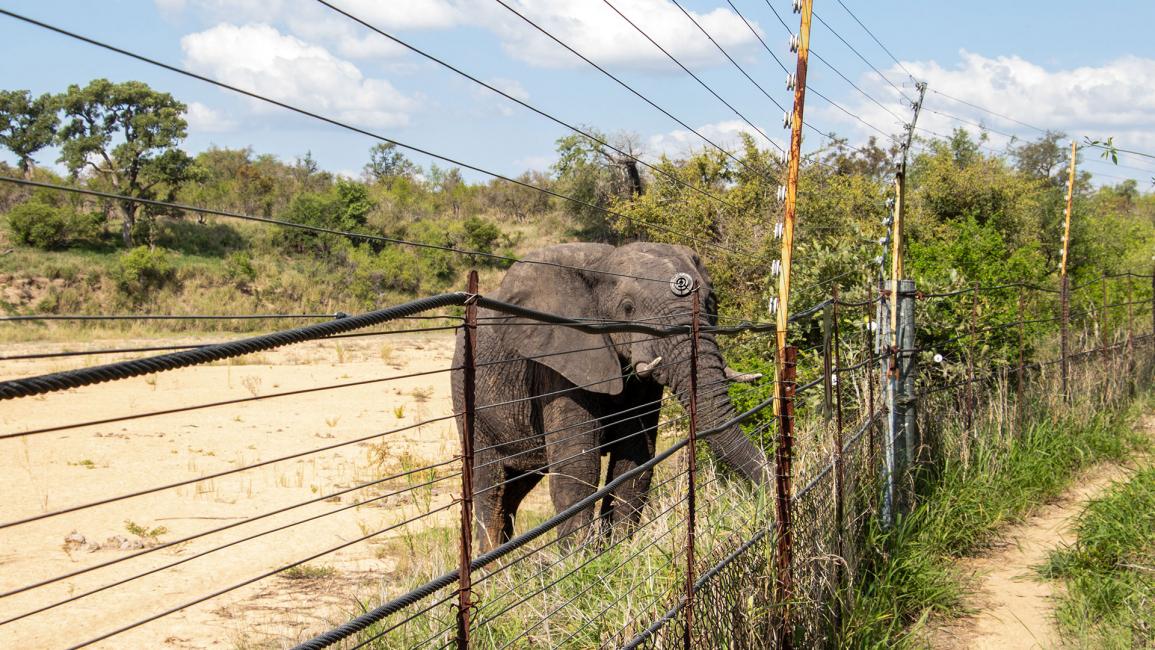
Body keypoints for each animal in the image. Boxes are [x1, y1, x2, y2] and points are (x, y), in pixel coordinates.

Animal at [448, 241, 766, 551]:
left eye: (711, 303)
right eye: (628, 308)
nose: (765, 496)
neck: (603, 263)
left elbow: (635, 459)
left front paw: (619, 553)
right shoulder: (561, 362)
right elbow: (578, 468)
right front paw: (579, 560)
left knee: (515, 487)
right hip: (467, 398)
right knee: (492, 488)